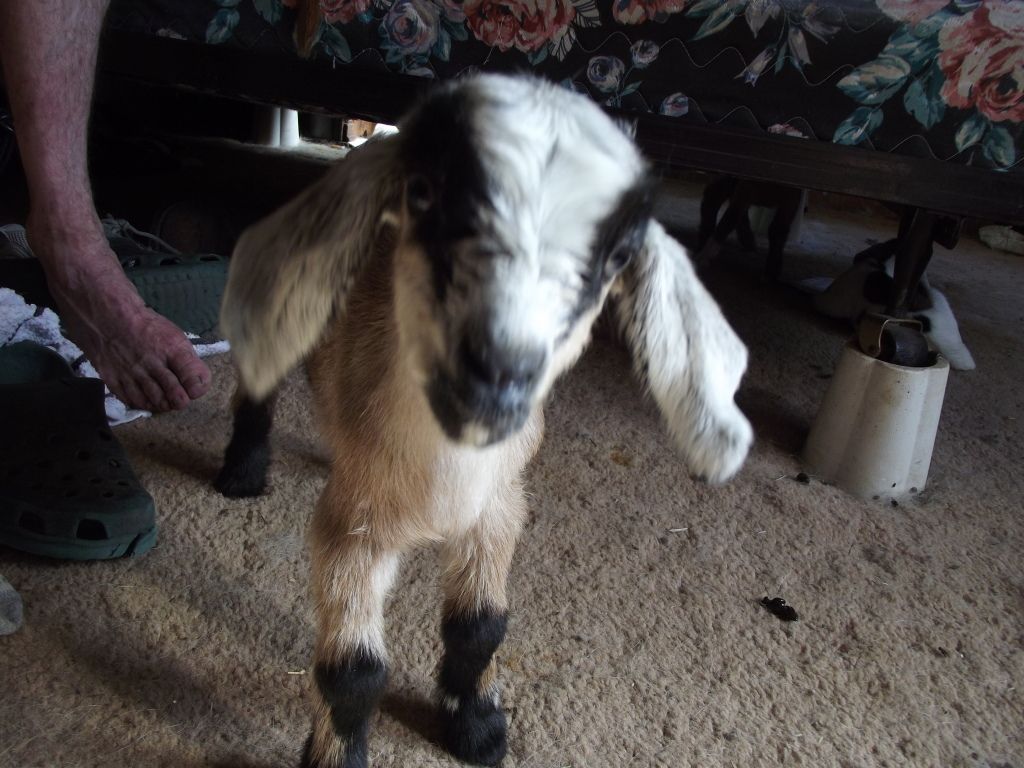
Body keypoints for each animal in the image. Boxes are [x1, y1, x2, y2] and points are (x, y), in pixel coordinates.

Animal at [215, 73, 753, 768]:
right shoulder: (351, 530)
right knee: (258, 381)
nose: (499, 366)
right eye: (424, 192)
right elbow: (353, 671)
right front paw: (340, 752)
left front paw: (476, 727)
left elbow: (479, 628)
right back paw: (241, 470)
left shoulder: (498, 509)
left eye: (618, 255)